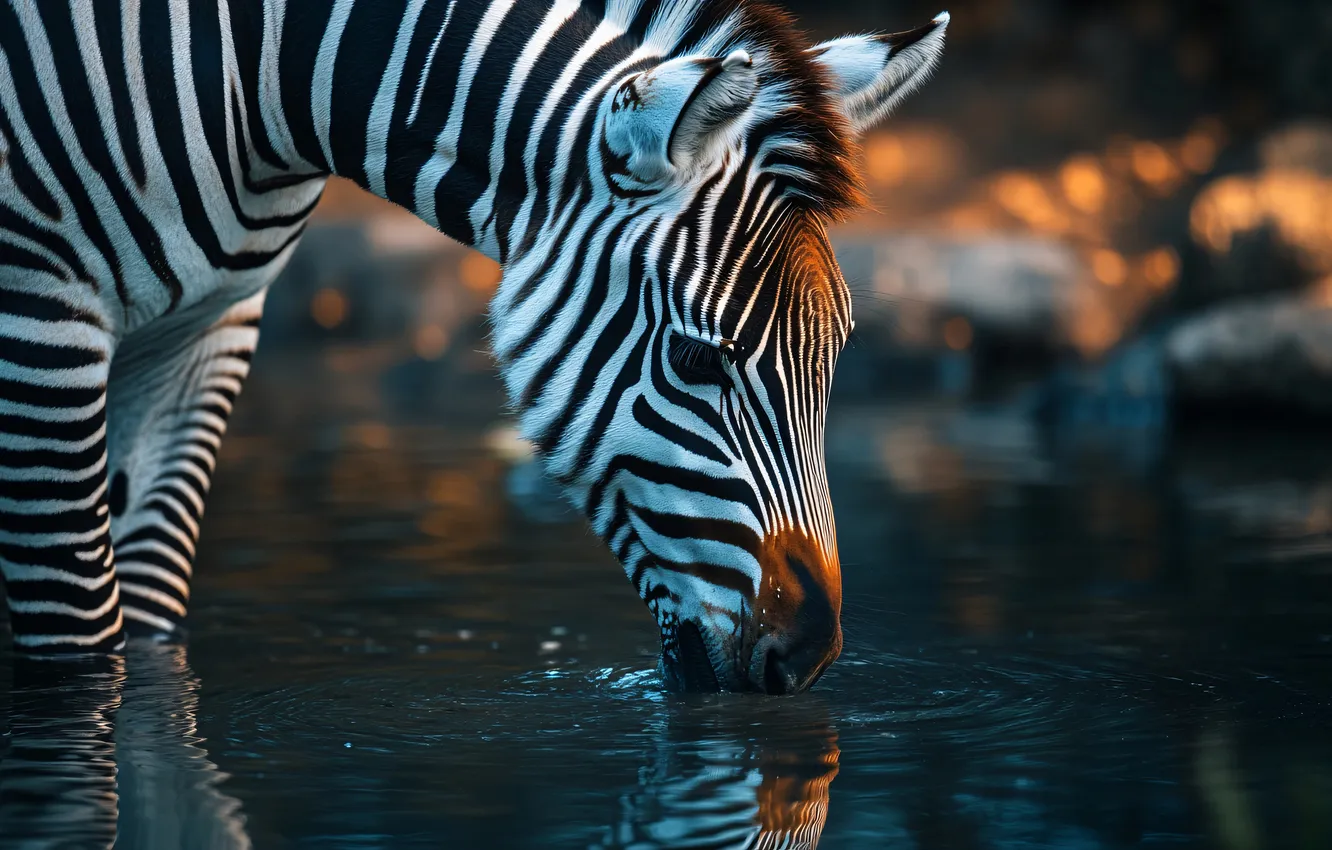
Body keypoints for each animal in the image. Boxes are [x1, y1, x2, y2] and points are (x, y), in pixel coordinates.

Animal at [0, 0, 947, 693]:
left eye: (834, 357)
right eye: (695, 362)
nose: (809, 658)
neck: (259, 76)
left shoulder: (208, 329)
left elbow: (150, 618)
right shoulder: (42, 306)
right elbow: (81, 637)